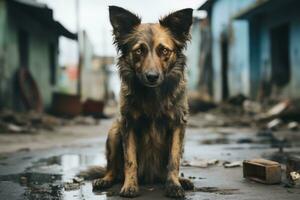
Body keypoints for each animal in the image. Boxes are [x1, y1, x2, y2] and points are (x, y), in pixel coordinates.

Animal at [83, 5, 193, 198]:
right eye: (139, 50)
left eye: (164, 51)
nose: (152, 77)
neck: (153, 94)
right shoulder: (128, 125)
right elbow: (130, 160)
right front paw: (130, 186)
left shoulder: (178, 124)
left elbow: (173, 160)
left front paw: (174, 185)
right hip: (114, 132)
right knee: (112, 169)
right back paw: (105, 179)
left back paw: (182, 180)